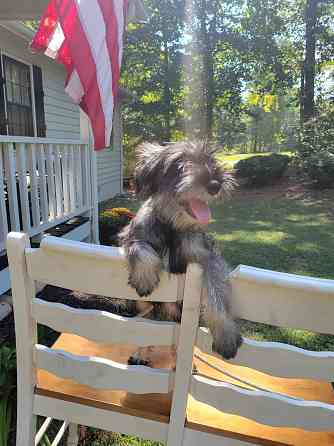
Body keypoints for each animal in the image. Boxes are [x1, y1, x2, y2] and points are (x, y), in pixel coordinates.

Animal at [120, 141, 243, 364]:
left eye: (211, 160)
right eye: (178, 164)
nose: (215, 184)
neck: (172, 225)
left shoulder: (207, 256)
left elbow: (217, 290)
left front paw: (225, 333)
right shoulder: (130, 236)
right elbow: (139, 248)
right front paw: (144, 276)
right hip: (142, 306)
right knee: (144, 327)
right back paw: (140, 353)